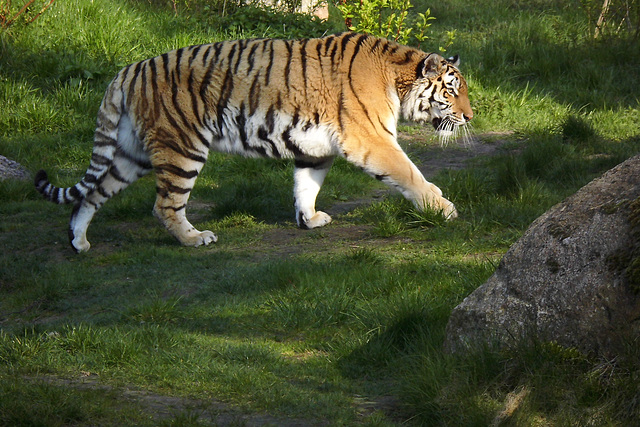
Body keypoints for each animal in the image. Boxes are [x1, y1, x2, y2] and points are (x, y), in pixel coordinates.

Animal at [36, 34, 476, 254]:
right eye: (452, 91)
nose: (471, 117)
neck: (397, 76)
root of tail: (125, 72)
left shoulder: (316, 147)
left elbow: (306, 186)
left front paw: (309, 219)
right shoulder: (372, 140)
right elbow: (410, 174)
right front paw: (443, 208)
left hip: (132, 153)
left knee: (91, 194)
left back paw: (79, 241)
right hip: (182, 147)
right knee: (164, 205)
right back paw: (195, 239)